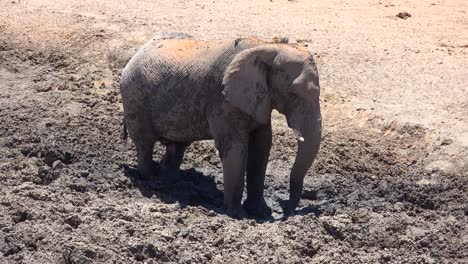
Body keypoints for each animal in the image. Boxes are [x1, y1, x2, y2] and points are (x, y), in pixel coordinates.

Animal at [119, 33, 322, 218]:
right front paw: (238, 215)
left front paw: (260, 213)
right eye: (292, 94)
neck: (267, 46)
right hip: (134, 98)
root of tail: (136, 53)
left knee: (178, 146)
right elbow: (236, 148)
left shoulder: (259, 99)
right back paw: (151, 178)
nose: (286, 210)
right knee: (144, 143)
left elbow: (261, 148)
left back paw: (170, 180)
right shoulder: (221, 99)